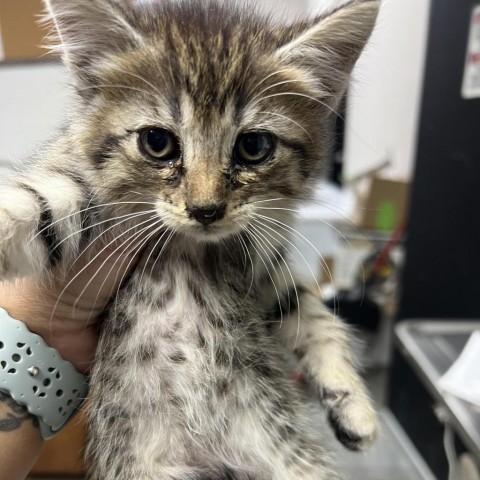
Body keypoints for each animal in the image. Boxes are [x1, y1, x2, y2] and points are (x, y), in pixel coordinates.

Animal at [0, 0, 382, 478]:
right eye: (157, 142)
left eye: (253, 147)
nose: (205, 210)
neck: (191, 246)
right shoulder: (82, 188)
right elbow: (37, 203)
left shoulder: (262, 259)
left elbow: (308, 309)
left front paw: (353, 402)